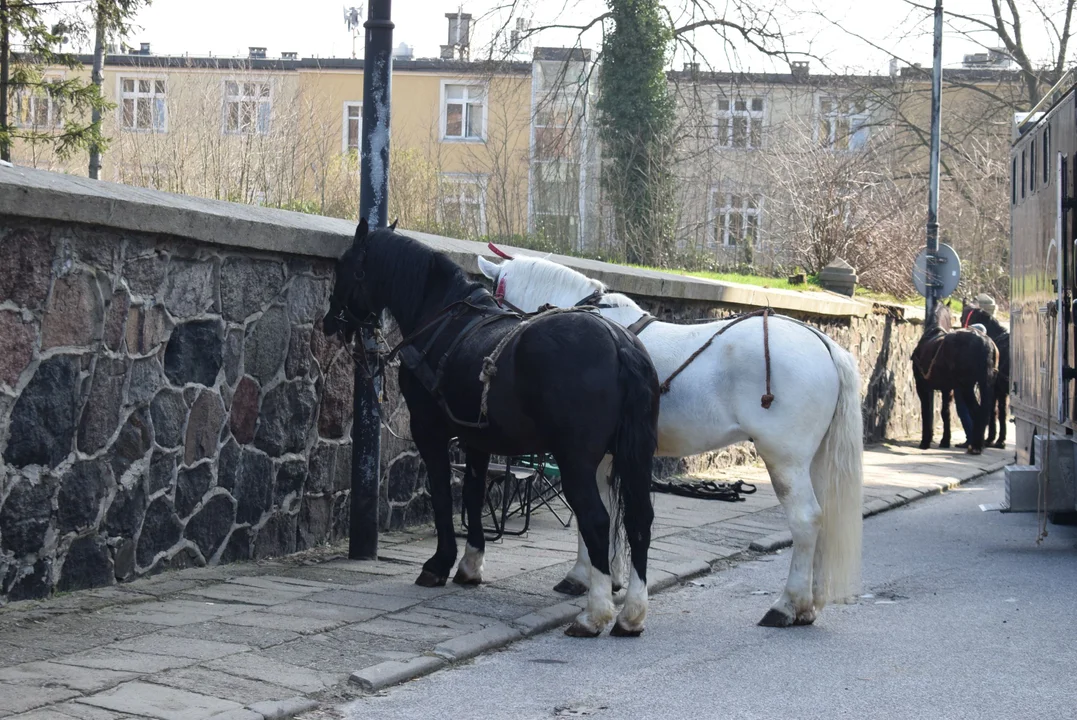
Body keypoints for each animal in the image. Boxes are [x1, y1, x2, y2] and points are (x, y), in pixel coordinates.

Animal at [320, 221, 654, 637]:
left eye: (346, 265)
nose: (329, 321)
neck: (441, 317)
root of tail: (619, 342)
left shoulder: (428, 430)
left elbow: (443, 495)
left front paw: (439, 563)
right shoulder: (477, 437)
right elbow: (474, 494)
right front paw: (470, 563)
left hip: (577, 461)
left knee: (597, 520)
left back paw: (595, 613)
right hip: (632, 457)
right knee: (639, 519)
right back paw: (631, 614)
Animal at [480, 251, 865, 624]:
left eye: (493, 298)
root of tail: (825, 345)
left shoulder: (591, 455)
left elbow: (594, 514)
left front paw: (582, 576)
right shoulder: (612, 457)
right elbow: (612, 513)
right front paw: (610, 578)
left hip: (784, 458)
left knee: (805, 519)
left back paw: (786, 605)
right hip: (812, 460)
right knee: (824, 518)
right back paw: (808, 607)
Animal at [917, 307, 999, 452]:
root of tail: (985, 342)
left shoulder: (922, 387)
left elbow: (926, 412)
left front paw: (925, 441)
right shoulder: (947, 390)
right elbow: (945, 413)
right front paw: (945, 440)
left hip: (967, 387)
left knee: (977, 411)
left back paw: (976, 446)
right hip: (985, 384)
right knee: (987, 411)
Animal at [960, 303, 1008, 443]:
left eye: (961, 318)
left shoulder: (994, 389)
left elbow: (994, 411)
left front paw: (993, 437)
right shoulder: (1001, 391)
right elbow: (1001, 412)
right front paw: (999, 439)